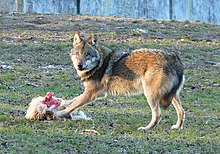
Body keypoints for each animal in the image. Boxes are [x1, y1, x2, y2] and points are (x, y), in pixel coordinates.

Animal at [54, 32, 185, 130]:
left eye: (87, 54)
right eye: (77, 54)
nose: (79, 65)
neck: (99, 64)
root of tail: (175, 58)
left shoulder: (92, 93)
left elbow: (73, 105)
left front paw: (57, 114)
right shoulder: (90, 92)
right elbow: (73, 100)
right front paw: (62, 103)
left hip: (150, 95)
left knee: (158, 114)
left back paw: (146, 128)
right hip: (171, 96)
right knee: (182, 111)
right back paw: (177, 127)